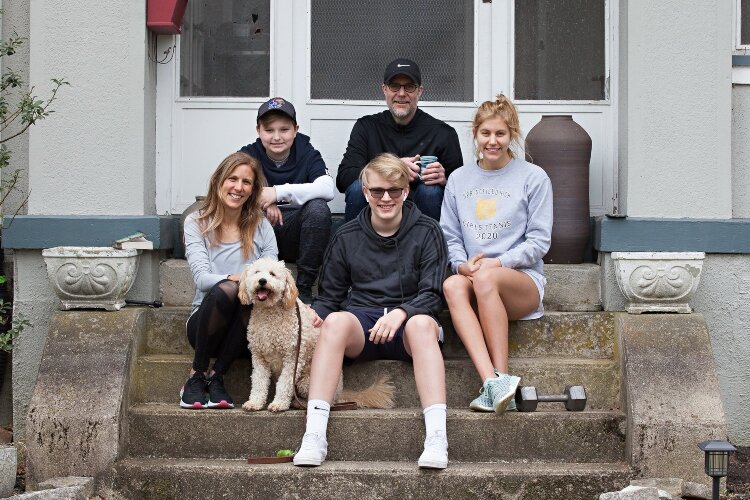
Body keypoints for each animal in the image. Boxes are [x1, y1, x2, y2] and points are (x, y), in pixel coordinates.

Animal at [241, 260, 396, 412]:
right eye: (257, 272)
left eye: (272, 274)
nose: (262, 280)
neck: (270, 313)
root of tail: (339, 394)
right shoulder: (259, 357)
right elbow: (258, 382)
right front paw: (255, 402)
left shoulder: (292, 357)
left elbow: (284, 384)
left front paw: (279, 404)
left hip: (306, 381)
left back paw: (300, 404)